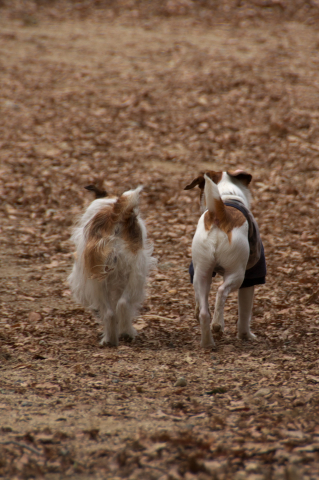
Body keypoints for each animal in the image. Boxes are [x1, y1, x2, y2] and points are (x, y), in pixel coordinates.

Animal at [68, 184, 156, 344]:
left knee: (109, 311)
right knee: (121, 304)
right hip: (134, 273)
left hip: (96, 281)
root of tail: (116, 214)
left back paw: (111, 338)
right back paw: (123, 334)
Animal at [185, 171, 268, 346]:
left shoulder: (194, 272)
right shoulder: (251, 278)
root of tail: (219, 213)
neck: (227, 196)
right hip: (237, 274)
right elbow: (244, 313)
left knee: (204, 312)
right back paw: (218, 324)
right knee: (221, 291)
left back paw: (207, 343)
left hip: (202, 273)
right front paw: (246, 335)